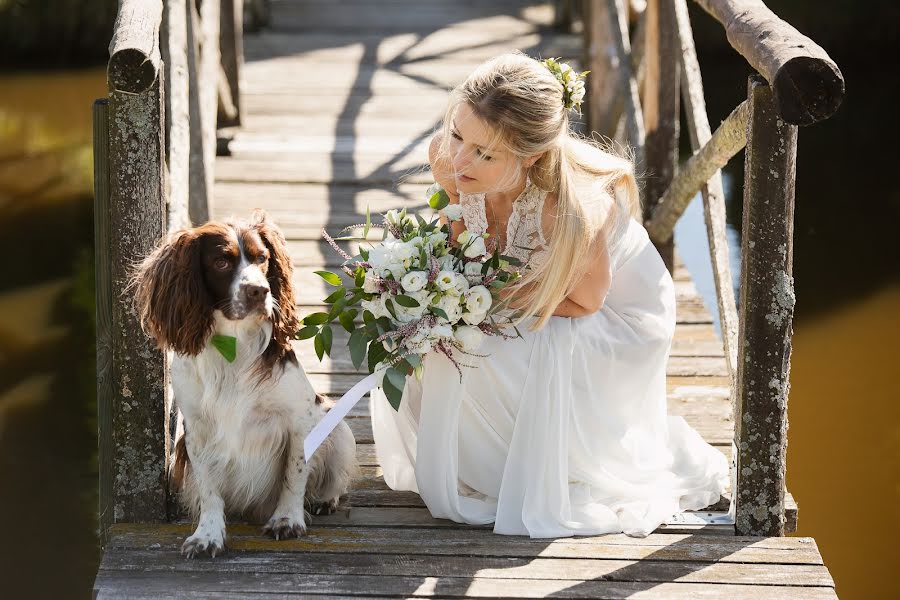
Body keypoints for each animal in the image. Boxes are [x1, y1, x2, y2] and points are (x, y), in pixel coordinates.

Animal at [130, 210, 356, 556]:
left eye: (262, 258)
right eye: (222, 262)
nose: (259, 291)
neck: (234, 344)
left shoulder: (300, 419)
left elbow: (295, 473)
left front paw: (287, 520)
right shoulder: (197, 430)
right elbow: (209, 489)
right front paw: (207, 535)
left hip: (336, 425)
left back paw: (324, 500)